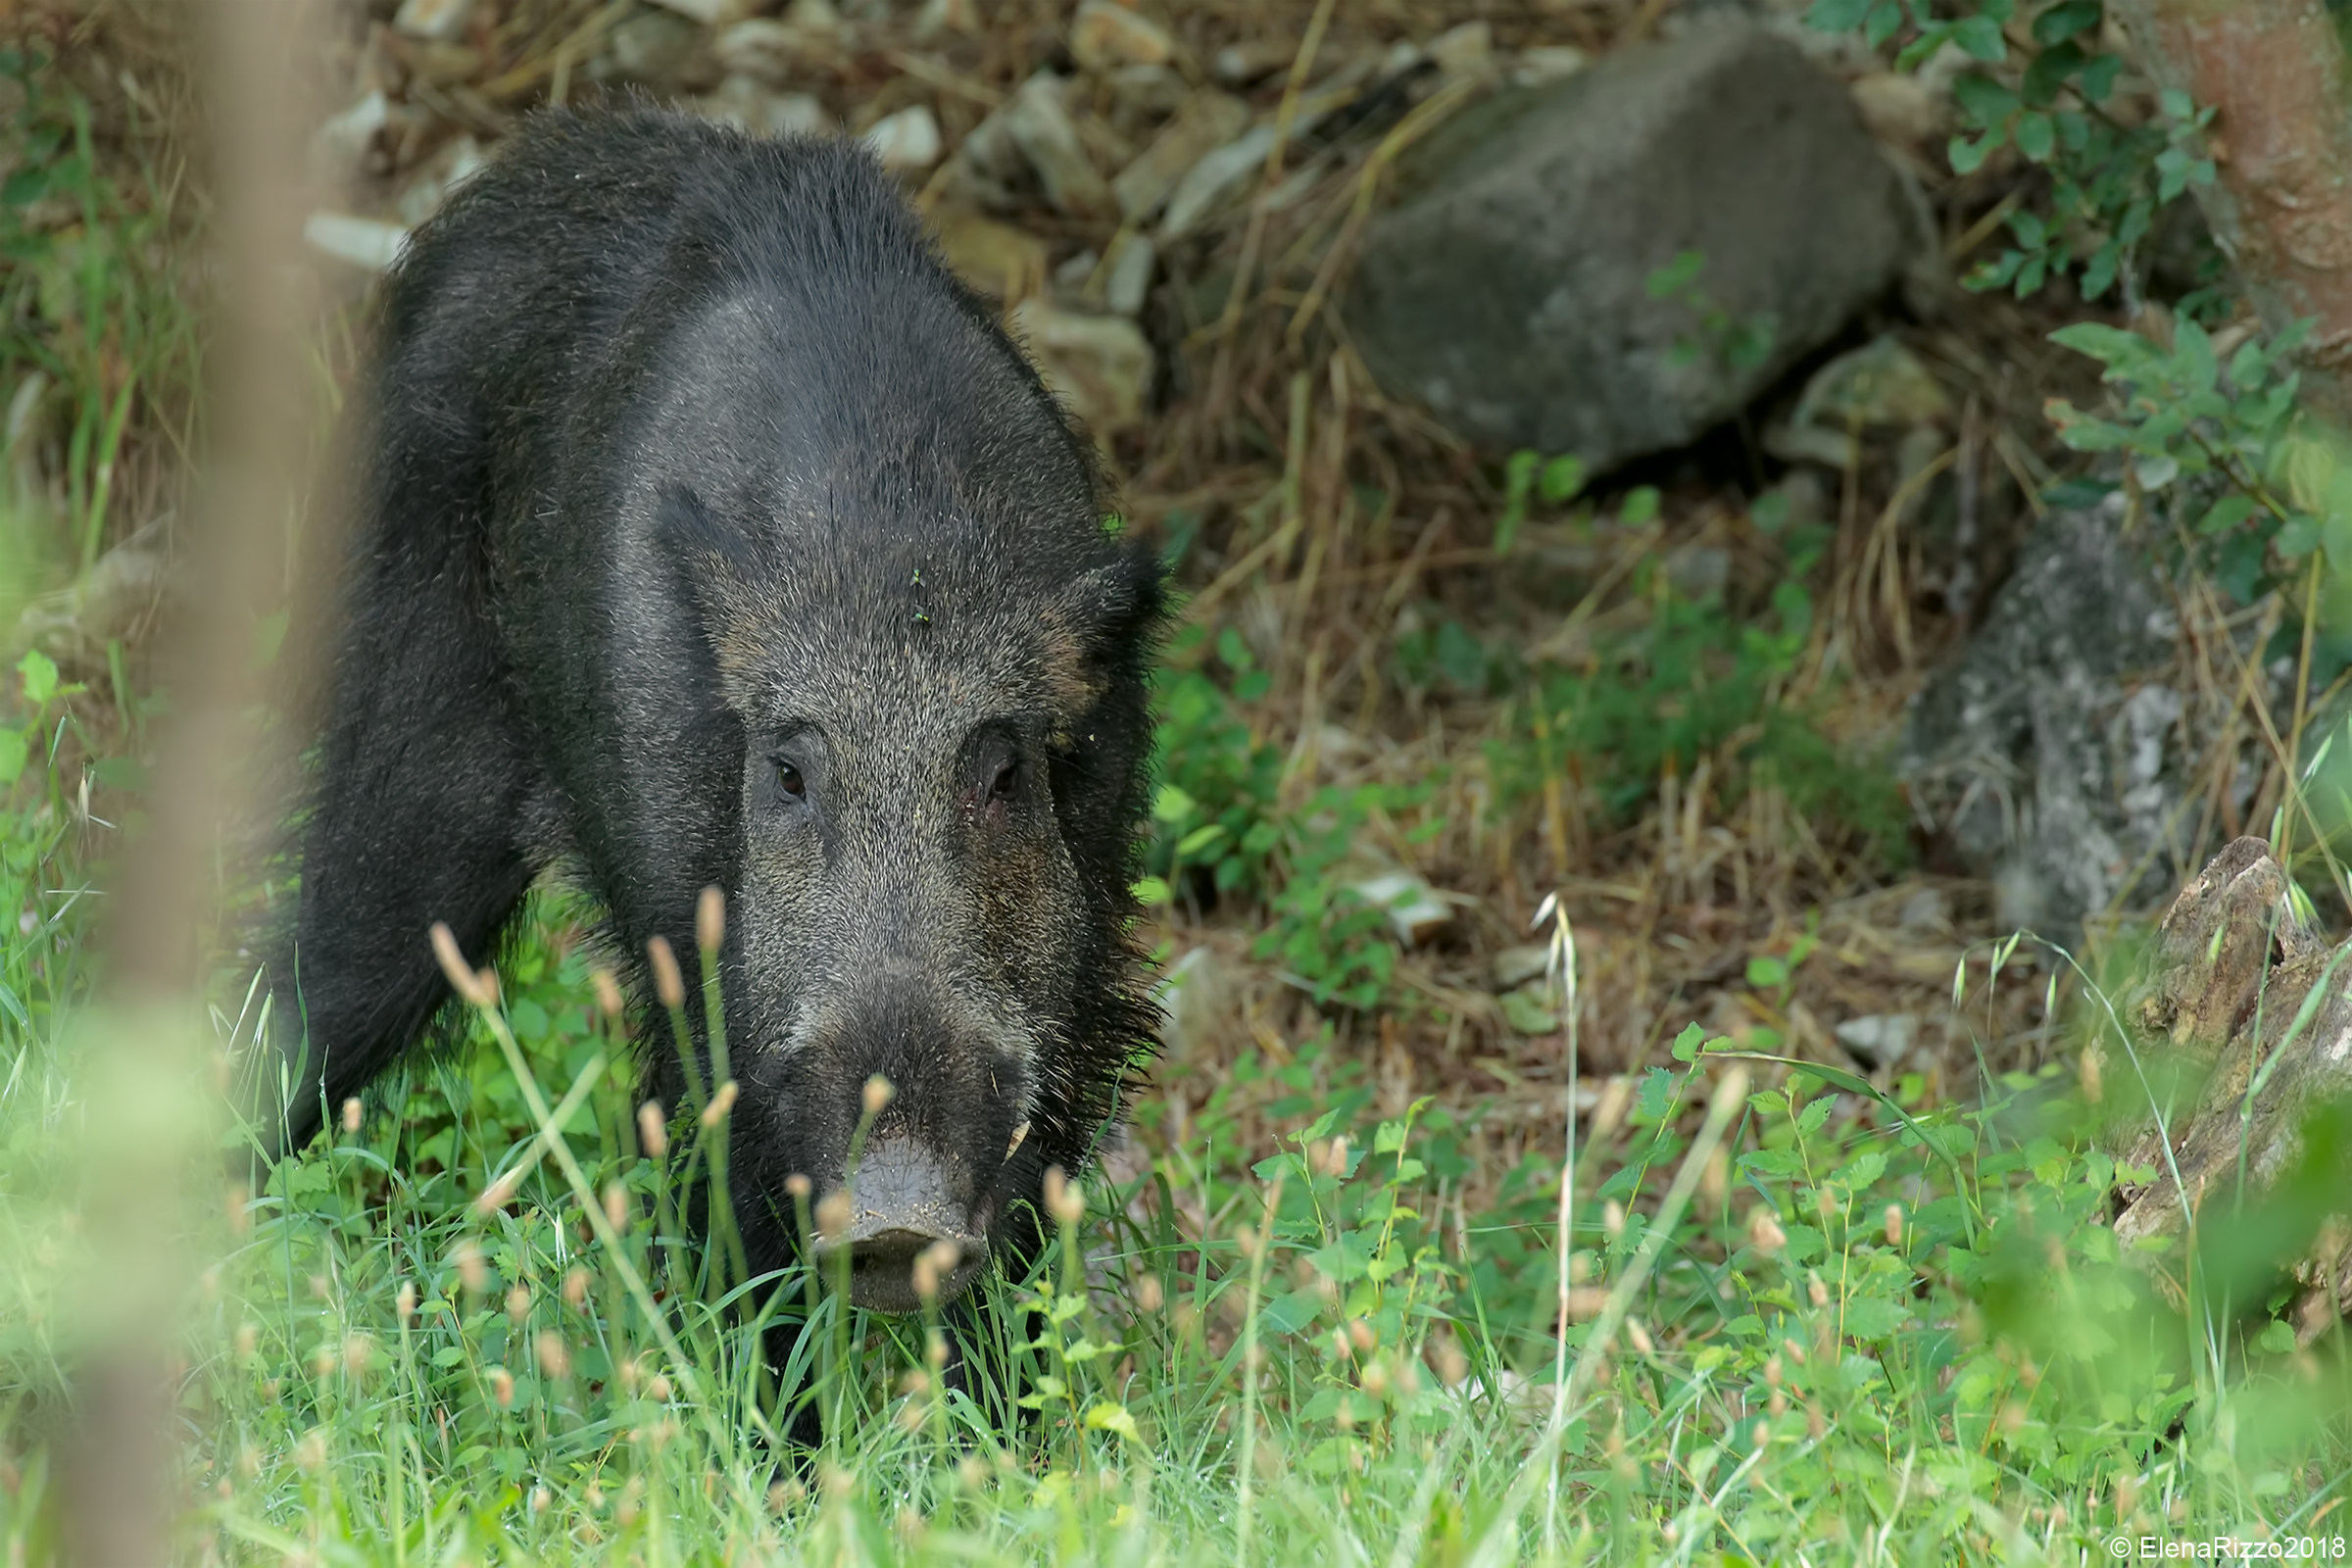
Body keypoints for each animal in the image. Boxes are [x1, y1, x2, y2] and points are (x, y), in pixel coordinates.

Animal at [258, 106, 1164, 1320]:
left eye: (1005, 774)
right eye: (788, 772)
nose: (895, 1222)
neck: (894, 563)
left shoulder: (1088, 951)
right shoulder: (690, 951)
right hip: (412, 716)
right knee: (335, 966)